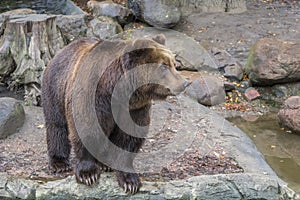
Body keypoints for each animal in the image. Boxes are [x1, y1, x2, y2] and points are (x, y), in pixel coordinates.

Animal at [41, 34, 190, 194]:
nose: (185, 83)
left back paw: (105, 163)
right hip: (56, 86)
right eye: (164, 66)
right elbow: (87, 129)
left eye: (174, 64)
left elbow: (128, 138)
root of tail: (62, 50)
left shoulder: (134, 108)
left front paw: (130, 181)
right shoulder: (92, 96)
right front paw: (88, 174)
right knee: (56, 124)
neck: (117, 91)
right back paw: (59, 163)